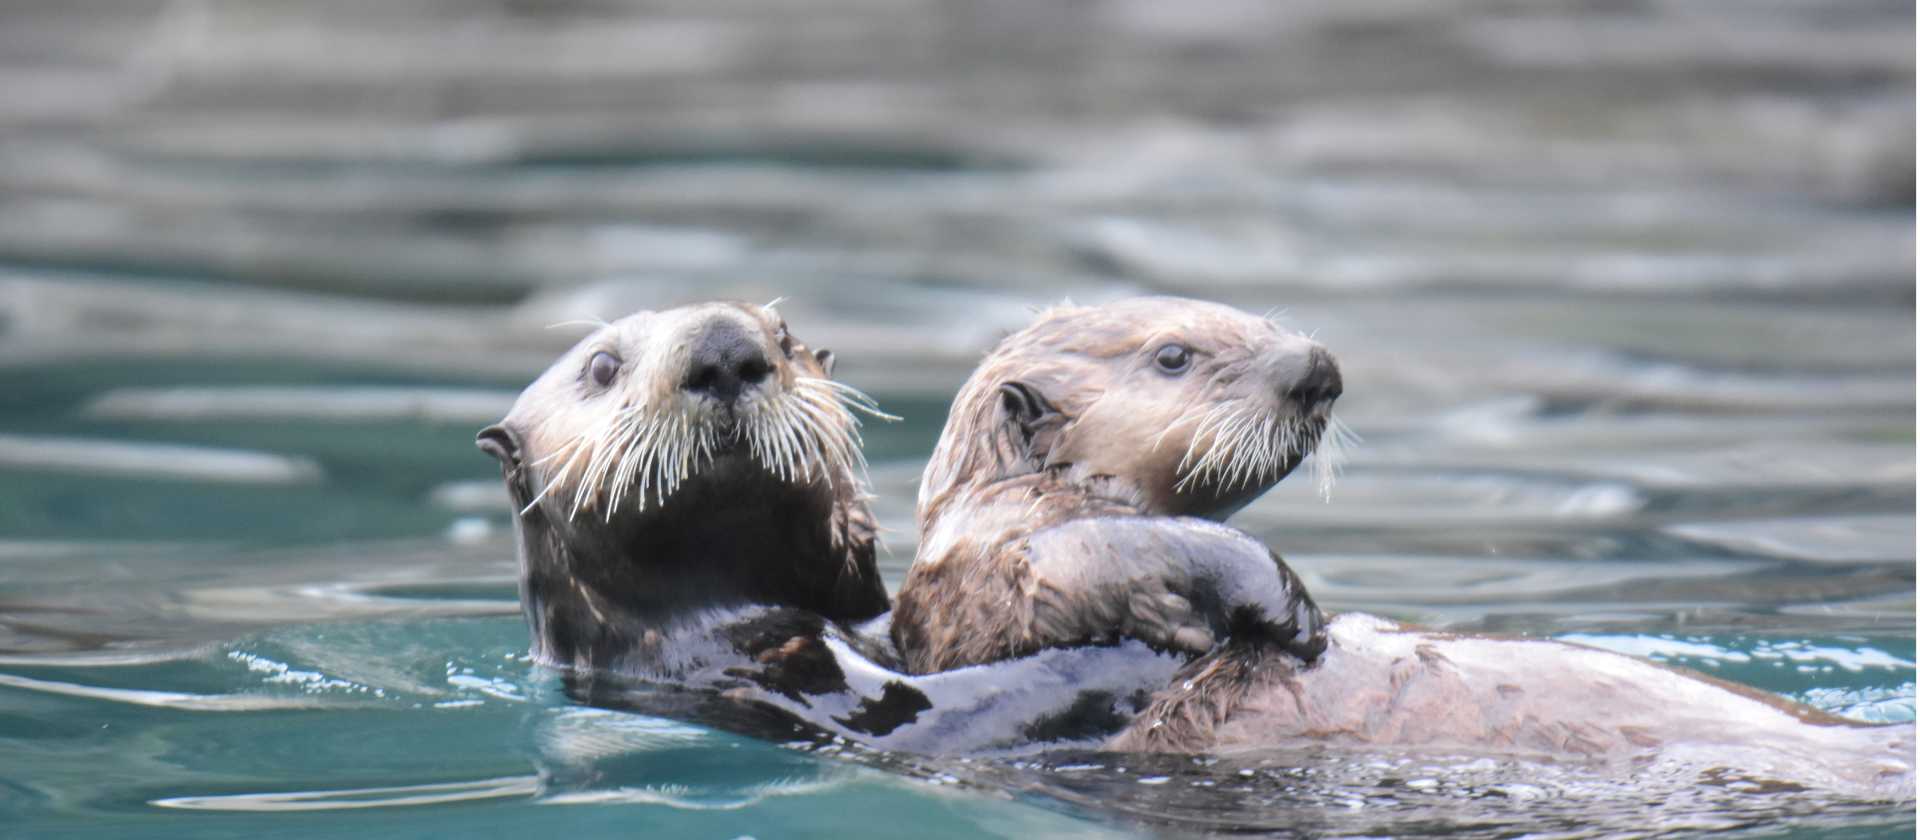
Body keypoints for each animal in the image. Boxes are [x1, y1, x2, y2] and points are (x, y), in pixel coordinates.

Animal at [894, 296, 1913, 798]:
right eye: (1173, 355)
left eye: (1263, 322)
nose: (1315, 367)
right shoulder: (986, 574)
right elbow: (1094, 558)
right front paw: (1289, 609)